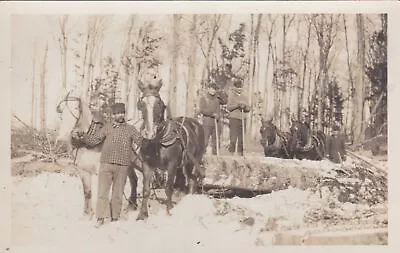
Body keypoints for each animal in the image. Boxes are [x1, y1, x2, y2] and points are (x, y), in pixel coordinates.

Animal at [137, 80, 208, 220]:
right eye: (141, 104)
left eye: (159, 103)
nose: (149, 133)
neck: (157, 141)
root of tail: (197, 124)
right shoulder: (147, 165)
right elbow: (146, 189)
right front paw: (142, 215)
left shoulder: (172, 165)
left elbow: (168, 188)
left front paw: (169, 210)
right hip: (185, 165)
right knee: (191, 179)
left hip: (194, 161)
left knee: (193, 179)